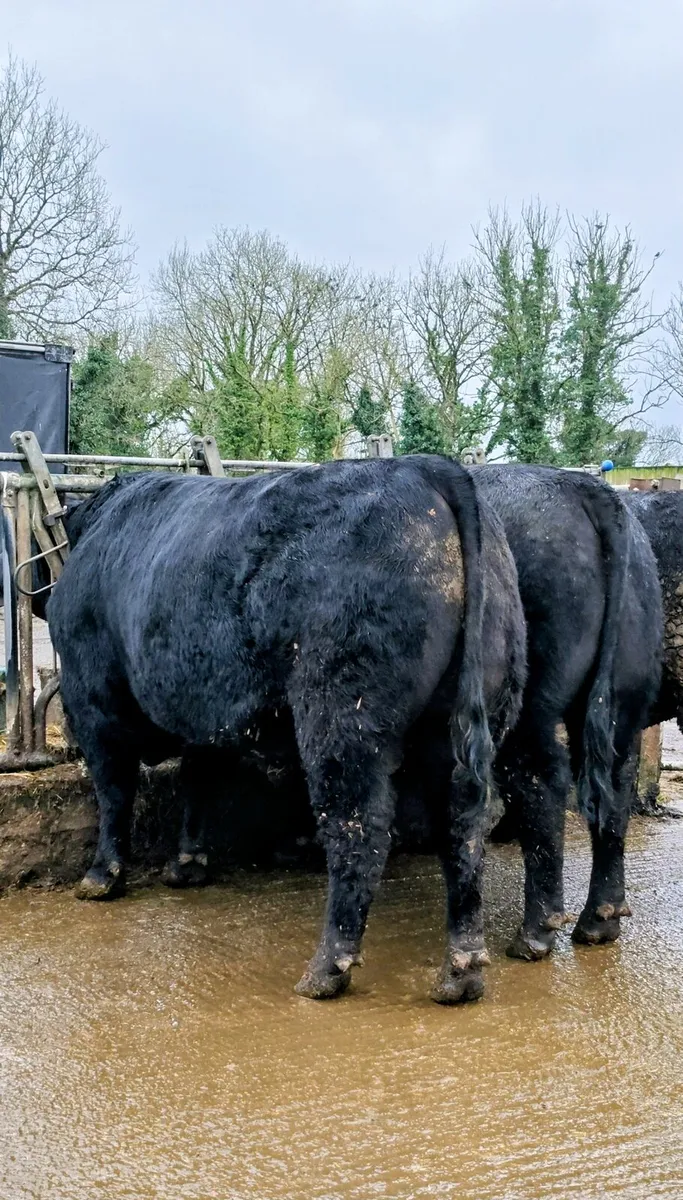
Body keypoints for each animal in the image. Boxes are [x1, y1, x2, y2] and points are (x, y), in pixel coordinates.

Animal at [46, 455, 526, 1003]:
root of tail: (427, 468)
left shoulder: (91, 701)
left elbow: (114, 791)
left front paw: (101, 877)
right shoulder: (203, 707)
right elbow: (197, 778)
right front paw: (187, 864)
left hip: (341, 716)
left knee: (359, 828)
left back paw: (326, 969)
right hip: (463, 716)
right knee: (462, 827)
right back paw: (460, 971)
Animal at [475, 466, 663, 959]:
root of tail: (586, 487)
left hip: (529, 703)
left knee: (540, 779)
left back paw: (534, 934)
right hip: (624, 696)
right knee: (616, 784)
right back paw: (599, 921)